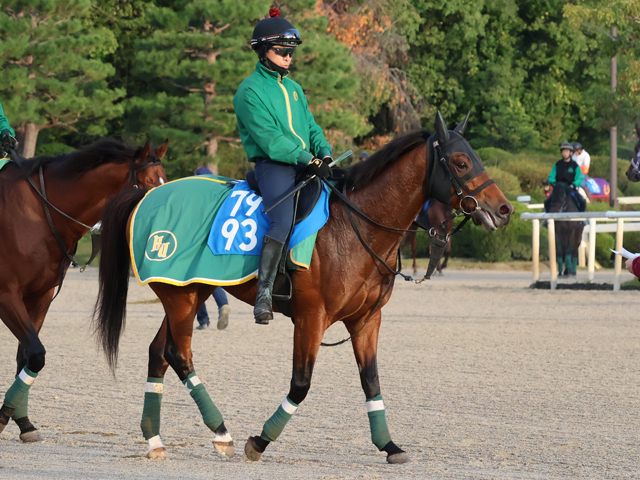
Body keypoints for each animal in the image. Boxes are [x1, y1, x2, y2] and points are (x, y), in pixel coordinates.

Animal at [0, 139, 168, 442]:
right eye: (148, 185)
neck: (35, 214)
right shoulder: (7, 296)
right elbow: (36, 354)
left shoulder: (40, 297)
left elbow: (27, 356)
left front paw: (23, 421)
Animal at [94, 112, 514, 463]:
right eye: (460, 162)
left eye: (475, 157)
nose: (504, 208)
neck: (354, 226)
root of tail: (149, 194)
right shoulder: (312, 318)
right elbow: (301, 384)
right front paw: (260, 441)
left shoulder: (366, 320)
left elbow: (371, 381)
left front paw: (389, 445)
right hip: (181, 297)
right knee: (178, 355)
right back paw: (222, 432)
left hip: (188, 290)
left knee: (158, 353)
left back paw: (155, 439)